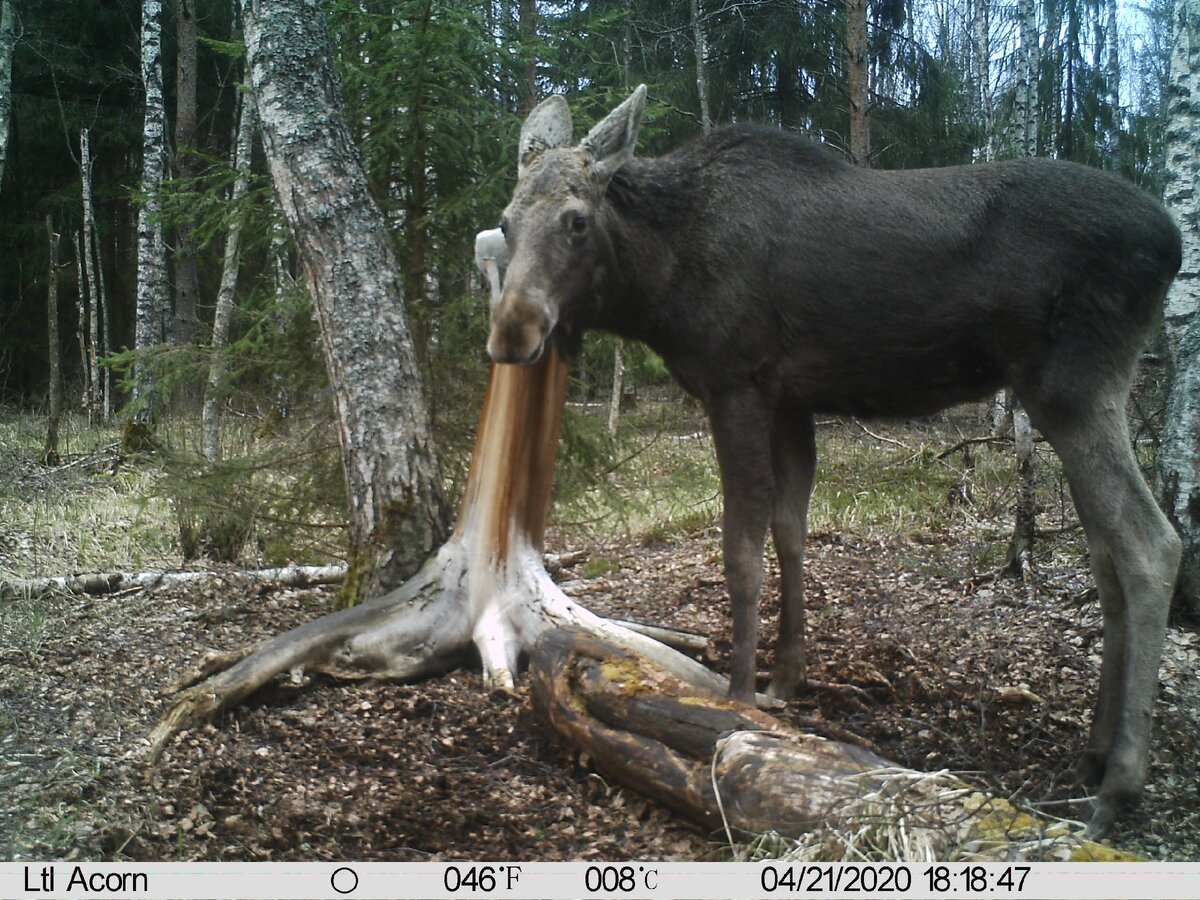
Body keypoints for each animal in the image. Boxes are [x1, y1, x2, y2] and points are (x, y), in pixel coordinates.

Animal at [492, 86, 1185, 840]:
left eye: (577, 220)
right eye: (504, 221)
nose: (511, 330)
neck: (658, 282)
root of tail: (1174, 241)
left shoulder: (736, 383)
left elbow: (742, 549)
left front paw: (740, 695)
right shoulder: (791, 399)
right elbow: (792, 530)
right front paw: (786, 678)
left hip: (1073, 388)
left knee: (1151, 543)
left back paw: (1119, 784)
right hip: (1078, 396)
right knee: (1105, 555)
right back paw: (1094, 753)